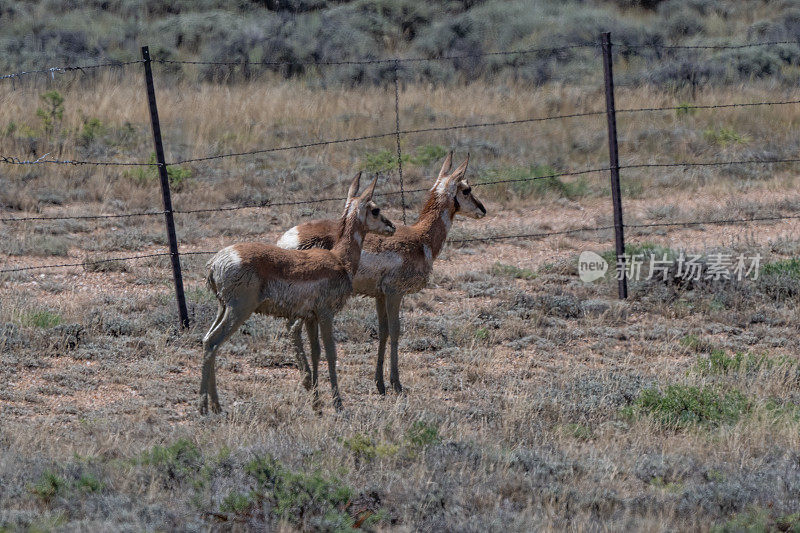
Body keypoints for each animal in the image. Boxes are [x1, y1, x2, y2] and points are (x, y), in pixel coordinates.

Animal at [200, 172, 396, 414]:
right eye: (376, 209)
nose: (392, 226)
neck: (339, 259)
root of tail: (215, 262)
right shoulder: (326, 314)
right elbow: (331, 353)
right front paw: (338, 404)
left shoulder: (310, 318)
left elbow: (315, 353)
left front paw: (317, 404)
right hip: (238, 311)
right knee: (213, 342)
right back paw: (207, 407)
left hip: (223, 309)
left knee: (207, 340)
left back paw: (214, 407)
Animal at [276, 154, 488, 394]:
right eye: (466, 189)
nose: (483, 210)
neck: (420, 238)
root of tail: (287, 240)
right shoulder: (395, 293)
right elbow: (395, 331)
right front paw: (396, 383)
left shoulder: (379, 295)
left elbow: (383, 331)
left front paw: (380, 383)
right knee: (293, 329)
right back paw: (307, 380)